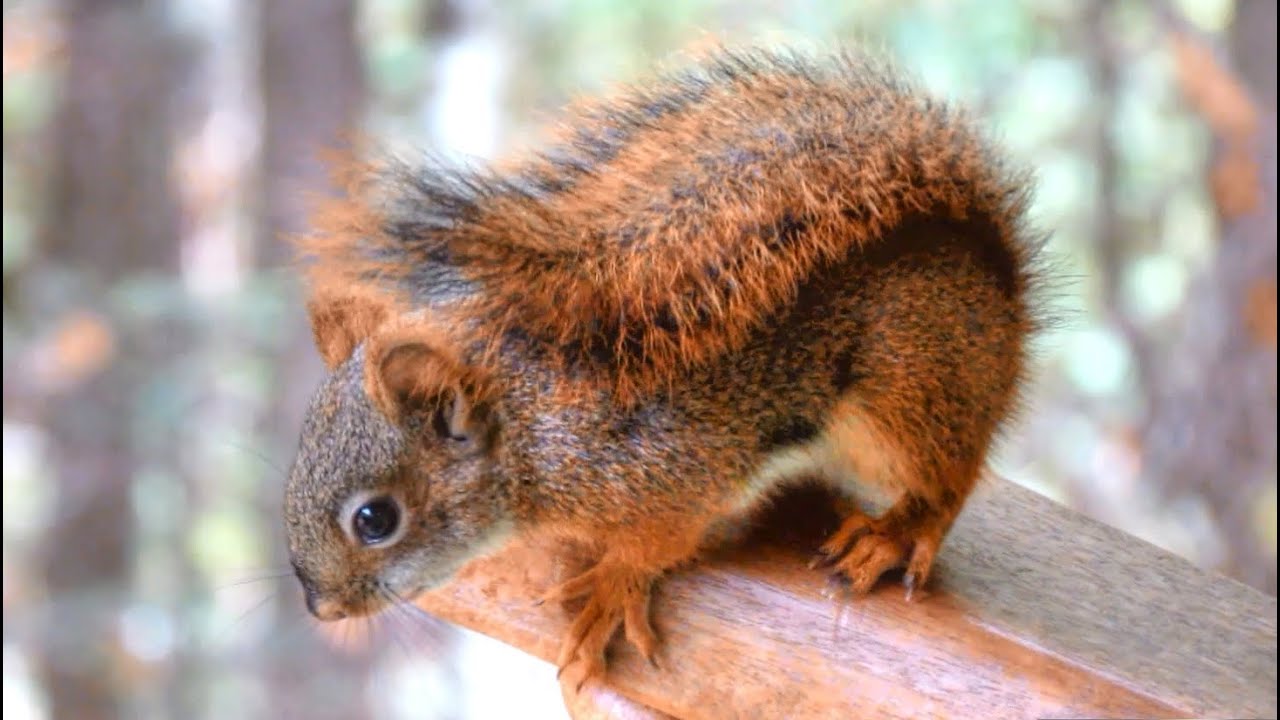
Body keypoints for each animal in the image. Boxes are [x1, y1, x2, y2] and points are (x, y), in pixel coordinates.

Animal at [282, 47, 1049, 686]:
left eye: (375, 519)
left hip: (908, 388)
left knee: (946, 478)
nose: (322, 609)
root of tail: (1001, 288)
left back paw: (897, 532)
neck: (528, 430)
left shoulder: (668, 472)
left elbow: (658, 542)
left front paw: (611, 589)